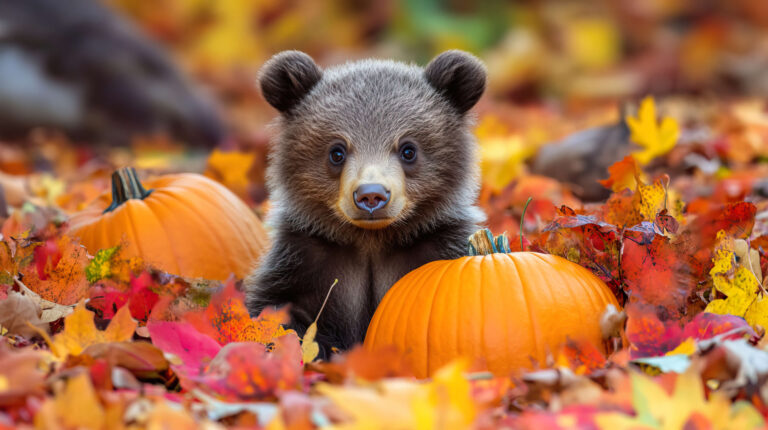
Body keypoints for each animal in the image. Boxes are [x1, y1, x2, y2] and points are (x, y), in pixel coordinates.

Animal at [245, 50, 487, 357]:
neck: (371, 240)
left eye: (408, 149)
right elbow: (277, 308)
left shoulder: (434, 246)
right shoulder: (305, 258)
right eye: (337, 151)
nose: (371, 195)